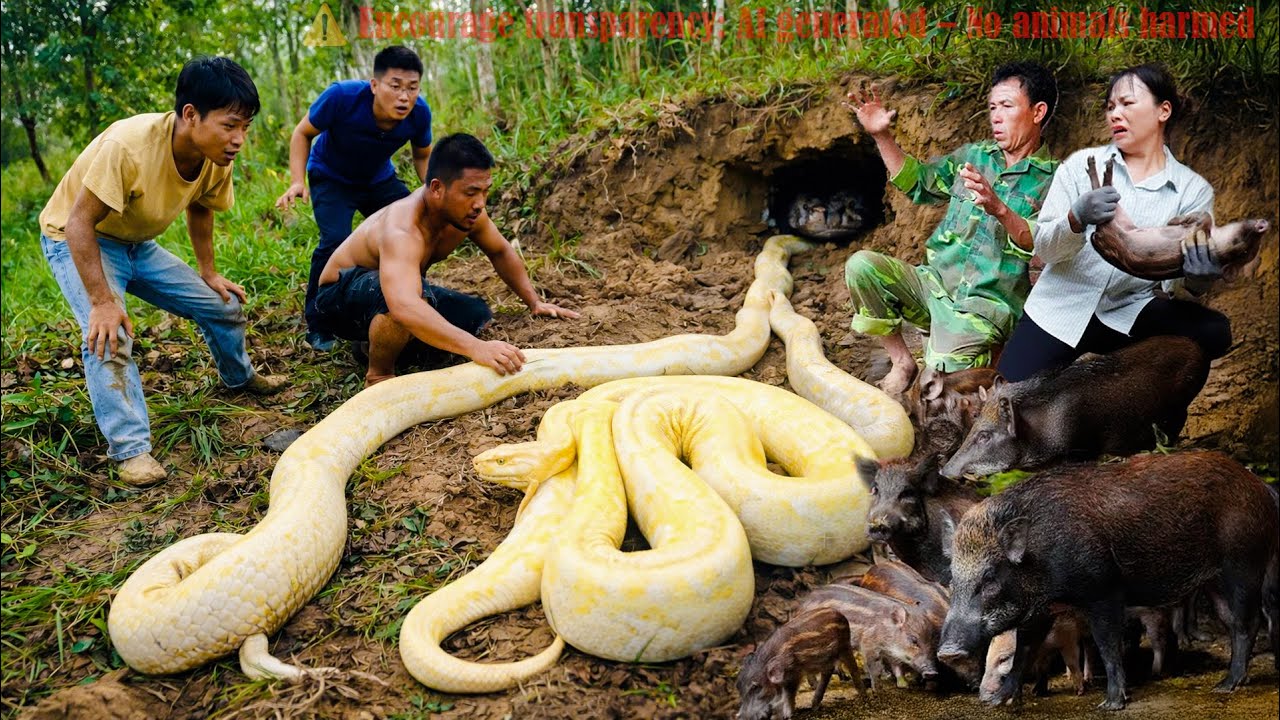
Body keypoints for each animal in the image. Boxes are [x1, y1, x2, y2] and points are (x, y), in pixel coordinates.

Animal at [799, 584, 940, 688]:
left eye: (933, 639)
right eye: (914, 640)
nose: (932, 672)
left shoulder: (891, 652)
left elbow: (897, 666)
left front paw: (904, 685)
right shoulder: (868, 645)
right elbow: (873, 667)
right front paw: (877, 688)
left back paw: (844, 678)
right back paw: (816, 685)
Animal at [937, 451, 1280, 710]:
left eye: (990, 578)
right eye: (953, 579)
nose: (947, 652)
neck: (1041, 557)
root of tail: (1262, 487)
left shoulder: (1103, 591)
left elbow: (1107, 644)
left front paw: (1111, 704)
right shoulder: (1040, 609)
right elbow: (1025, 648)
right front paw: (1000, 702)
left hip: (1243, 564)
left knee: (1249, 622)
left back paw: (1226, 686)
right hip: (1215, 580)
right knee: (1234, 623)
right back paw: (1230, 682)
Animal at [940, 335, 1208, 480]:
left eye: (985, 436)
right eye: (976, 421)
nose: (943, 470)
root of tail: (1198, 348)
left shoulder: (1080, 451)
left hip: (1179, 407)